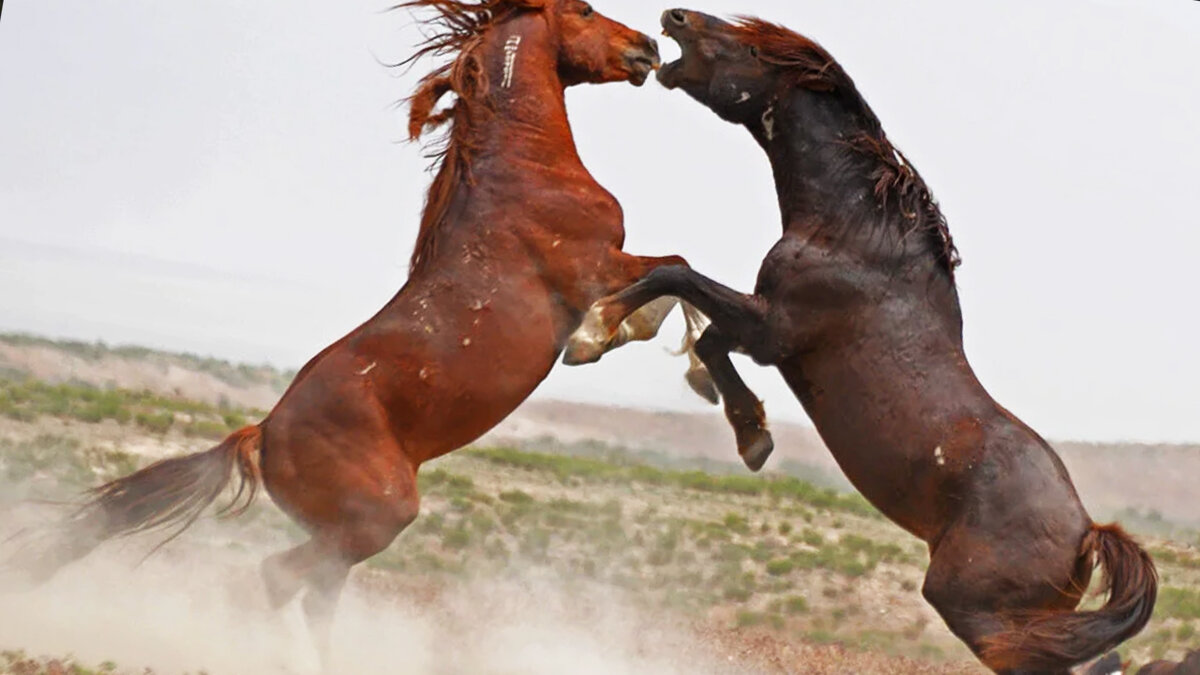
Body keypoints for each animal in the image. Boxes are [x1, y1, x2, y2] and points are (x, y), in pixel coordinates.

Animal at [21, 0, 696, 662]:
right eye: (583, 12)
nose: (646, 47)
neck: (526, 171)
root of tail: (262, 435)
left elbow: (671, 279)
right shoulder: (596, 268)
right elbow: (674, 272)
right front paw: (609, 342)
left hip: (346, 535)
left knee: (311, 597)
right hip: (378, 517)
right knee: (273, 579)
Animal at [566, 10, 1156, 672]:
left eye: (748, 47)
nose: (676, 18)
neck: (850, 235)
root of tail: (1087, 532)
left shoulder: (773, 328)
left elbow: (675, 275)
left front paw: (592, 332)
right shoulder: (766, 335)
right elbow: (710, 342)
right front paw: (752, 437)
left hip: (976, 611)